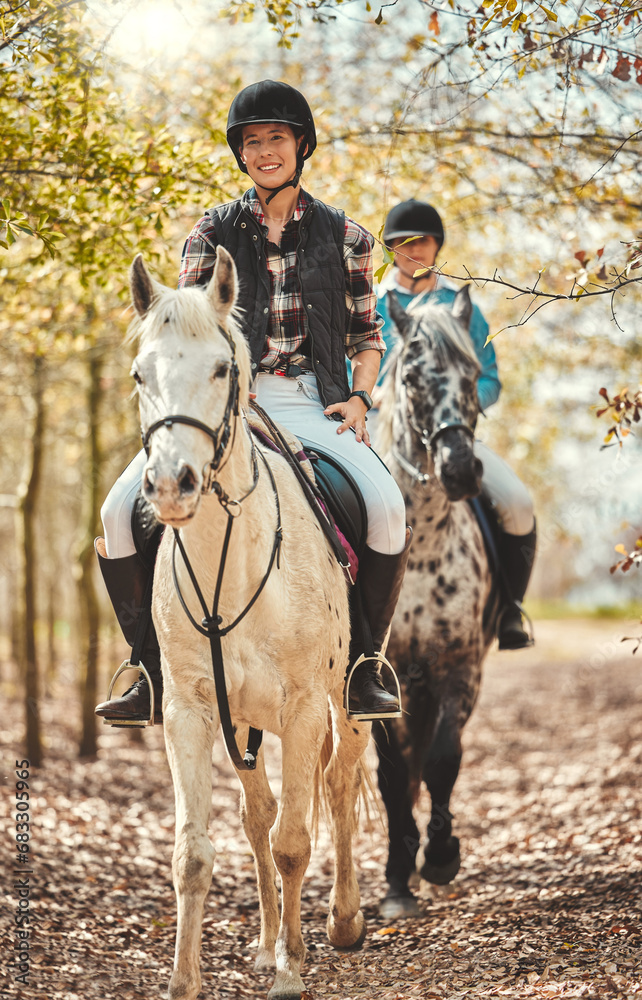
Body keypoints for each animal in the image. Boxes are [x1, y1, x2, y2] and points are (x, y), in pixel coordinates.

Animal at [129, 250, 370, 1000]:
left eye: (220, 369)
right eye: (139, 374)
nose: (171, 485)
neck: (226, 567)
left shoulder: (302, 707)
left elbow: (296, 841)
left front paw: (291, 974)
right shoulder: (190, 710)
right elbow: (194, 853)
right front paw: (187, 980)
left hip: (346, 702)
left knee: (338, 782)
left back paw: (340, 922)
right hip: (244, 721)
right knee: (258, 813)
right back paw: (269, 942)